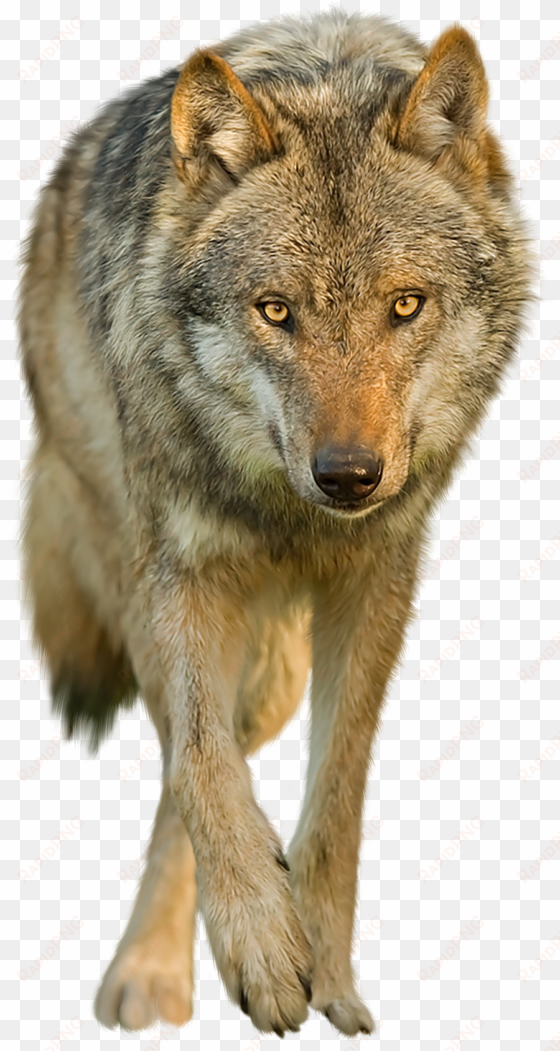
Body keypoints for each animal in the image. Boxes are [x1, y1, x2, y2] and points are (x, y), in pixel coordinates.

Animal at [18, 10, 531, 1037]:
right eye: (275, 311)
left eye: (405, 305)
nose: (349, 475)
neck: (292, 517)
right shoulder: (179, 569)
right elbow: (203, 764)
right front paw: (260, 941)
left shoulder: (378, 580)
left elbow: (339, 790)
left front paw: (325, 968)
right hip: (154, 594)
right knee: (185, 754)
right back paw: (153, 971)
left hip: (272, 672)